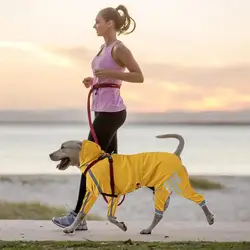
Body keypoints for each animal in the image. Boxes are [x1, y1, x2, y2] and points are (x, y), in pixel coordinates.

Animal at [49, 135, 214, 234]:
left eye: (63, 147)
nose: (50, 154)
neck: (94, 159)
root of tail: (175, 155)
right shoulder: (113, 195)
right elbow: (108, 216)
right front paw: (120, 224)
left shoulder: (94, 193)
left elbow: (83, 213)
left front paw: (70, 228)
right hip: (159, 187)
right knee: (160, 212)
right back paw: (150, 227)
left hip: (179, 185)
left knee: (198, 198)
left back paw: (209, 218)